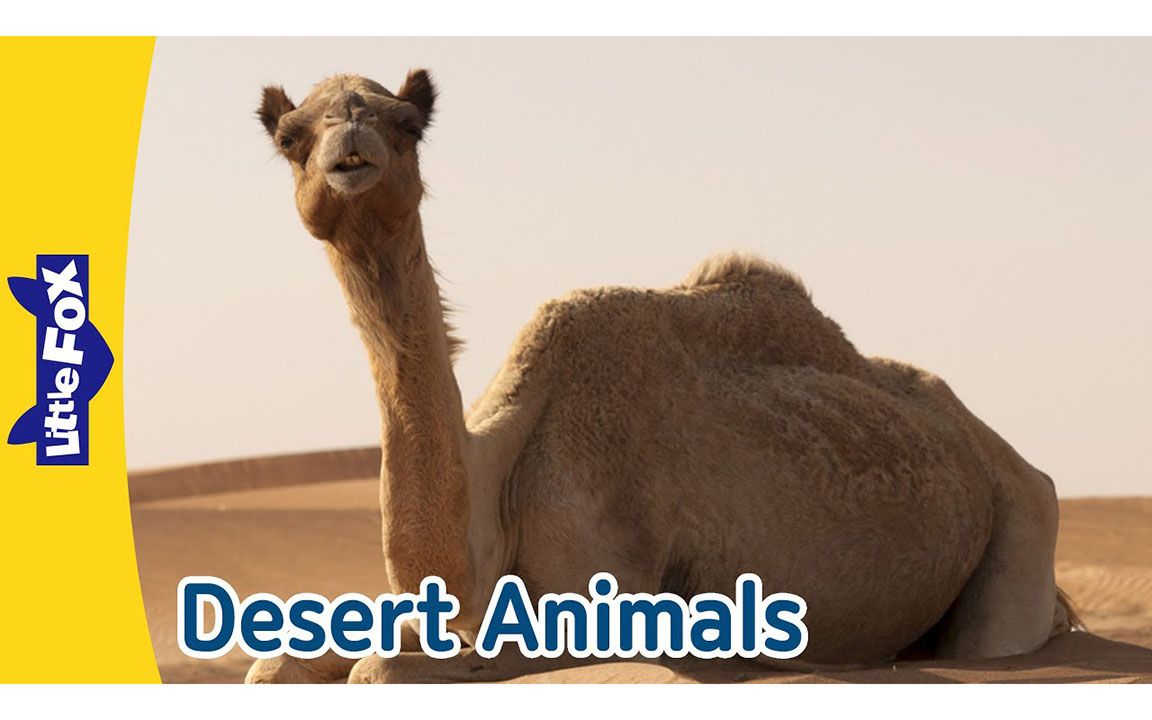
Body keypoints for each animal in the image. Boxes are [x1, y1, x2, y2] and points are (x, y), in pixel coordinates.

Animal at [246, 70, 1074, 683]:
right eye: (290, 136)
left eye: (407, 122)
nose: (352, 144)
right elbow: (279, 663)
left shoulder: (605, 587)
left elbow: (381, 668)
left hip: (1023, 514)